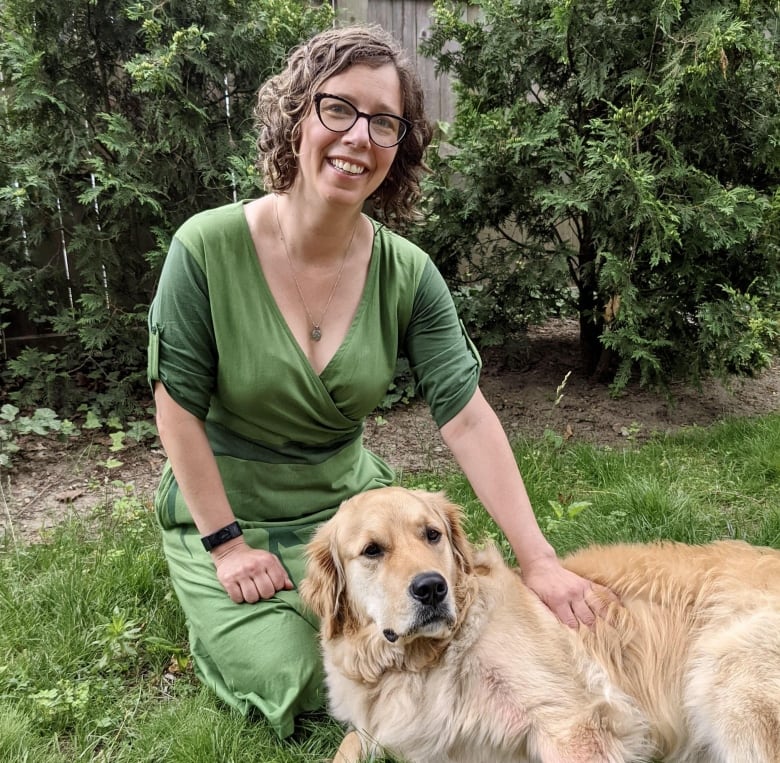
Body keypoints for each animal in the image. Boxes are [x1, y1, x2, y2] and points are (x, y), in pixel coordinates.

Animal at [302, 490, 780, 763]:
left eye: (432, 535)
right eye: (372, 550)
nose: (432, 588)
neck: (422, 662)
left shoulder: (575, 723)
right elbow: (346, 748)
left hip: (726, 679)